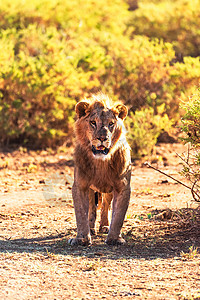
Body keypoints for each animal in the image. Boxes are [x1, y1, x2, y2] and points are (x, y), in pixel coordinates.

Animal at [68, 94, 132, 246]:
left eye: (111, 124)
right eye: (93, 122)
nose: (102, 138)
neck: (101, 162)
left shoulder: (123, 186)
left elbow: (118, 215)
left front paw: (114, 238)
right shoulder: (80, 185)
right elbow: (81, 213)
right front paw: (82, 238)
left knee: (105, 206)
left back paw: (104, 226)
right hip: (92, 190)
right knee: (92, 207)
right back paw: (92, 229)